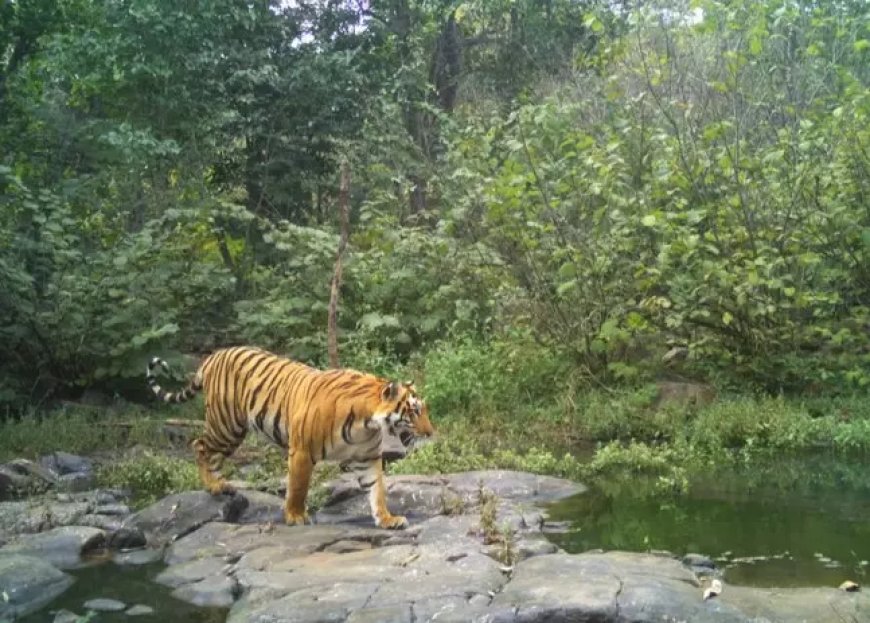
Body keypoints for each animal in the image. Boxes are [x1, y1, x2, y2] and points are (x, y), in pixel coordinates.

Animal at [146, 346, 440, 532]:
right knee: (199, 445)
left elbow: (377, 491)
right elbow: (298, 487)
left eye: (424, 409)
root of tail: (212, 356)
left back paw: (222, 485)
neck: (366, 424)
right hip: (226, 424)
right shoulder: (301, 451)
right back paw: (213, 485)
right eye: (415, 411)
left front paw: (388, 519)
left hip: (232, 431)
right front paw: (296, 517)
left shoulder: (367, 457)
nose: (430, 433)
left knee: (213, 454)